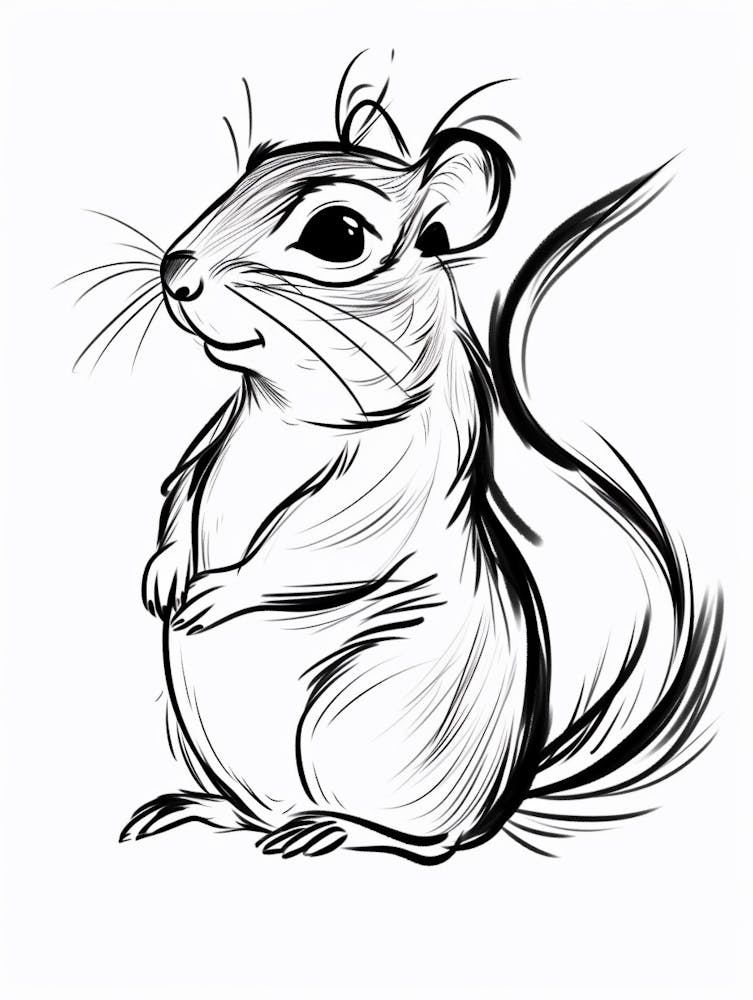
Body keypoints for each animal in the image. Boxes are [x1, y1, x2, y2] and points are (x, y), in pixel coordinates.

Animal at [117, 62, 724, 863]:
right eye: (247, 170)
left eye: (338, 234)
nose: (176, 271)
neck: (285, 408)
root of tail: (499, 799)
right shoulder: (214, 436)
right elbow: (182, 491)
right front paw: (162, 575)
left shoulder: (401, 474)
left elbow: (324, 545)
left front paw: (215, 594)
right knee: (252, 813)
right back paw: (195, 808)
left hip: (363, 727)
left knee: (420, 843)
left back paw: (330, 827)